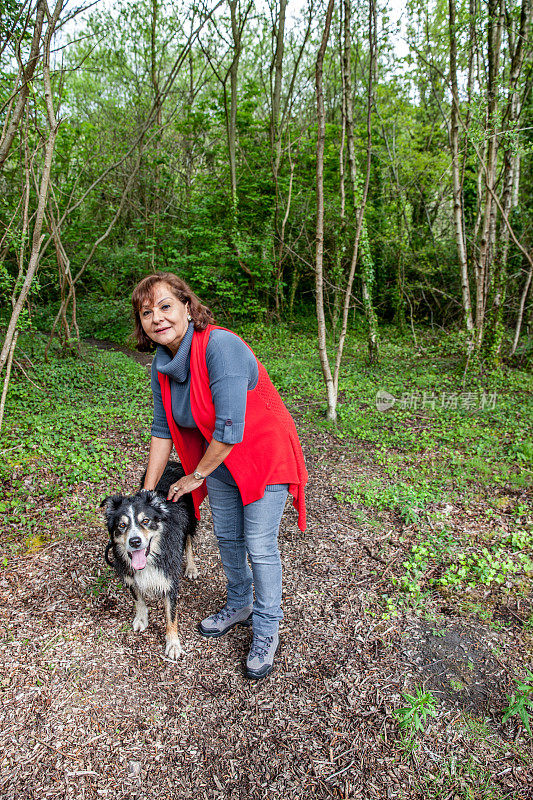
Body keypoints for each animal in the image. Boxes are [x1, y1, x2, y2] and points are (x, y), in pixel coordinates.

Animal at [100, 462, 197, 664]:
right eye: (122, 525)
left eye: (145, 521)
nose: (135, 541)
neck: (152, 557)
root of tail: (172, 463)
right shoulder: (130, 576)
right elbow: (138, 599)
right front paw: (141, 618)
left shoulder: (169, 582)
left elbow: (171, 616)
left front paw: (173, 644)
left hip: (190, 520)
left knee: (189, 541)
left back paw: (191, 567)